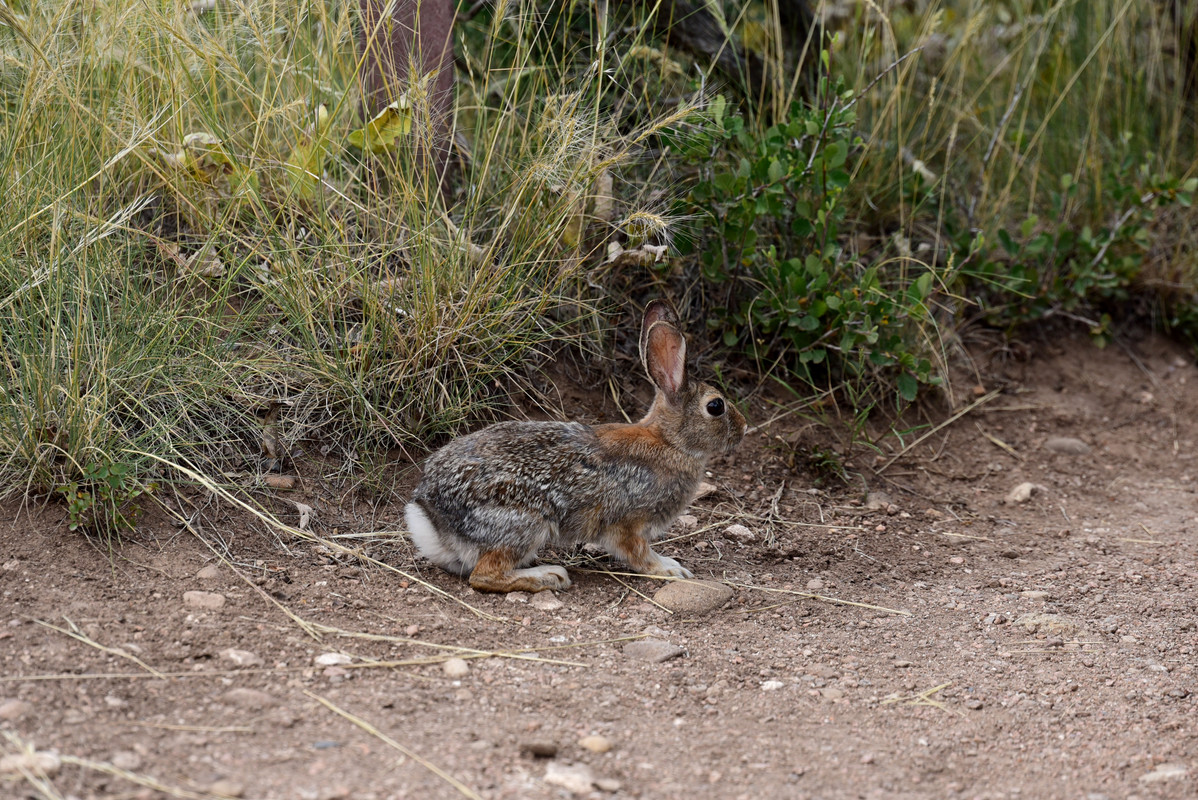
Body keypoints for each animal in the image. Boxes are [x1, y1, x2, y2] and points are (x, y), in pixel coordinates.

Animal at [412, 299, 747, 594]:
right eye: (716, 406)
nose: (744, 428)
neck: (669, 441)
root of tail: (430, 512)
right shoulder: (627, 522)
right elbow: (638, 552)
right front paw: (670, 569)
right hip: (525, 521)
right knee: (484, 575)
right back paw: (547, 576)